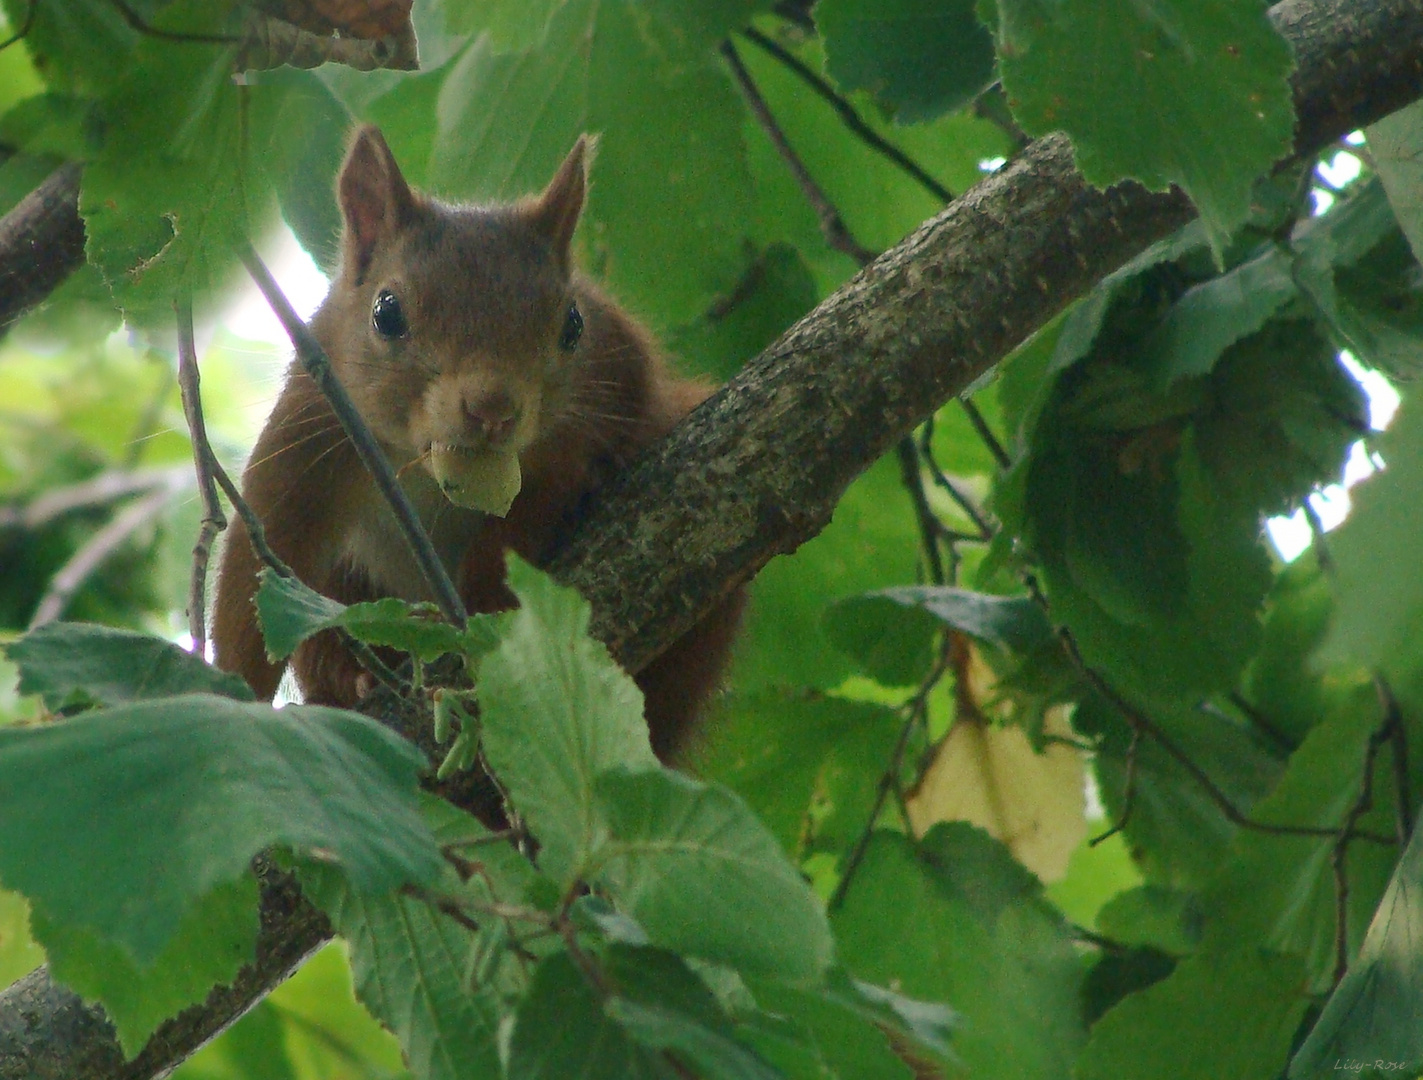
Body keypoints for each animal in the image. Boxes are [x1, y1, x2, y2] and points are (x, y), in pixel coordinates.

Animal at [213, 124, 745, 762]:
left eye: (574, 324)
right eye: (386, 312)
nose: (494, 409)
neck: (427, 469)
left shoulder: (594, 410)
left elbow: (532, 514)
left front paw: (491, 581)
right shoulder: (312, 435)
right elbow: (259, 566)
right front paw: (229, 692)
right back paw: (349, 678)